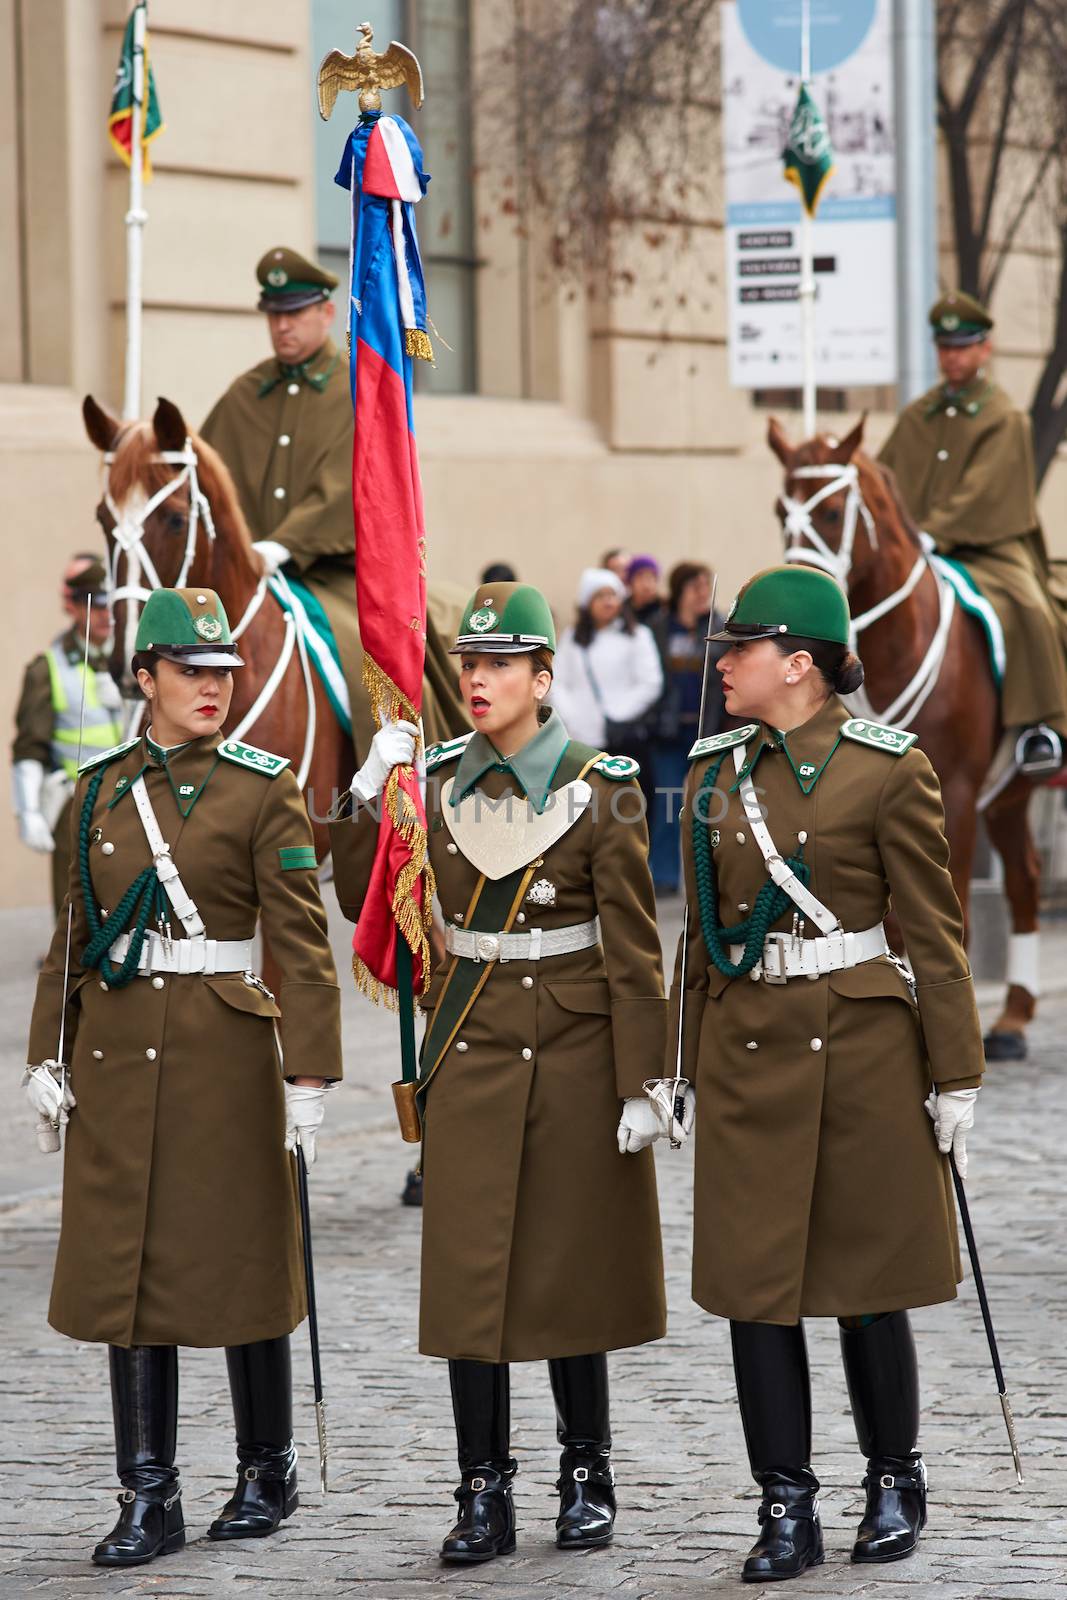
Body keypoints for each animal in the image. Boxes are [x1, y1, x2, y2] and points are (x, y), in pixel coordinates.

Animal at [771, 416, 1036, 1062]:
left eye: (833, 510)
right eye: (778, 509)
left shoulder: (955, 795)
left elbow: (951, 918)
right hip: (1010, 797)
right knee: (1024, 879)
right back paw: (1015, 1017)